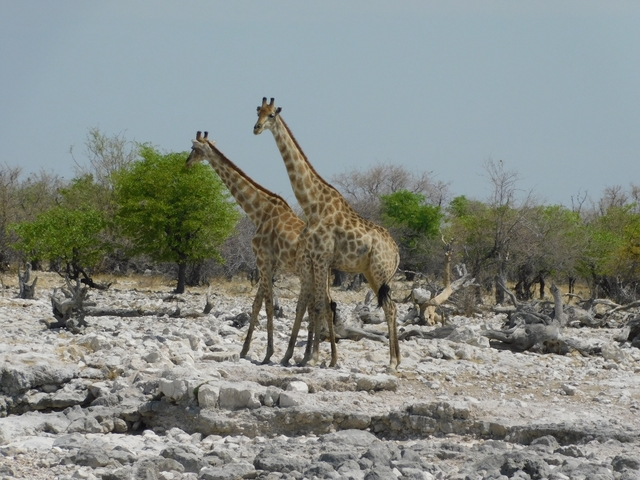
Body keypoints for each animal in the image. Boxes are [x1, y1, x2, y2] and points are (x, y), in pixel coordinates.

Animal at [185, 131, 315, 365]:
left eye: (194, 148)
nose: (186, 162)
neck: (259, 212)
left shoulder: (262, 259)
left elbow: (268, 305)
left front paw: (268, 353)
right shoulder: (270, 264)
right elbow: (257, 304)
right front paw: (245, 350)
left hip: (305, 271)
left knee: (309, 304)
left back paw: (296, 355)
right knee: (316, 305)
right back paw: (308, 355)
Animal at [253, 98, 402, 370]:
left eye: (271, 115)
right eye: (257, 112)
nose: (256, 128)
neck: (313, 205)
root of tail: (397, 253)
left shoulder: (322, 258)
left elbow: (321, 304)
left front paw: (316, 359)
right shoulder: (315, 259)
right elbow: (318, 304)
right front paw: (313, 357)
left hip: (379, 272)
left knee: (391, 308)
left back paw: (392, 362)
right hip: (374, 275)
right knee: (392, 307)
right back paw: (396, 360)